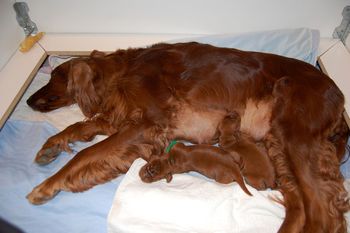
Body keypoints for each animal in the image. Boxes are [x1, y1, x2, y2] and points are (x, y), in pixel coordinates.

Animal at [26, 42, 348, 233]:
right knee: (299, 206)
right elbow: (77, 128)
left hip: (294, 138)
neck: (124, 70)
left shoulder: (147, 124)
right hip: (277, 146)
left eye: (54, 76)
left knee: (321, 213)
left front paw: (47, 186)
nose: (28, 100)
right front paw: (50, 148)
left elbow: (87, 153)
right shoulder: (123, 119)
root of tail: (337, 93)